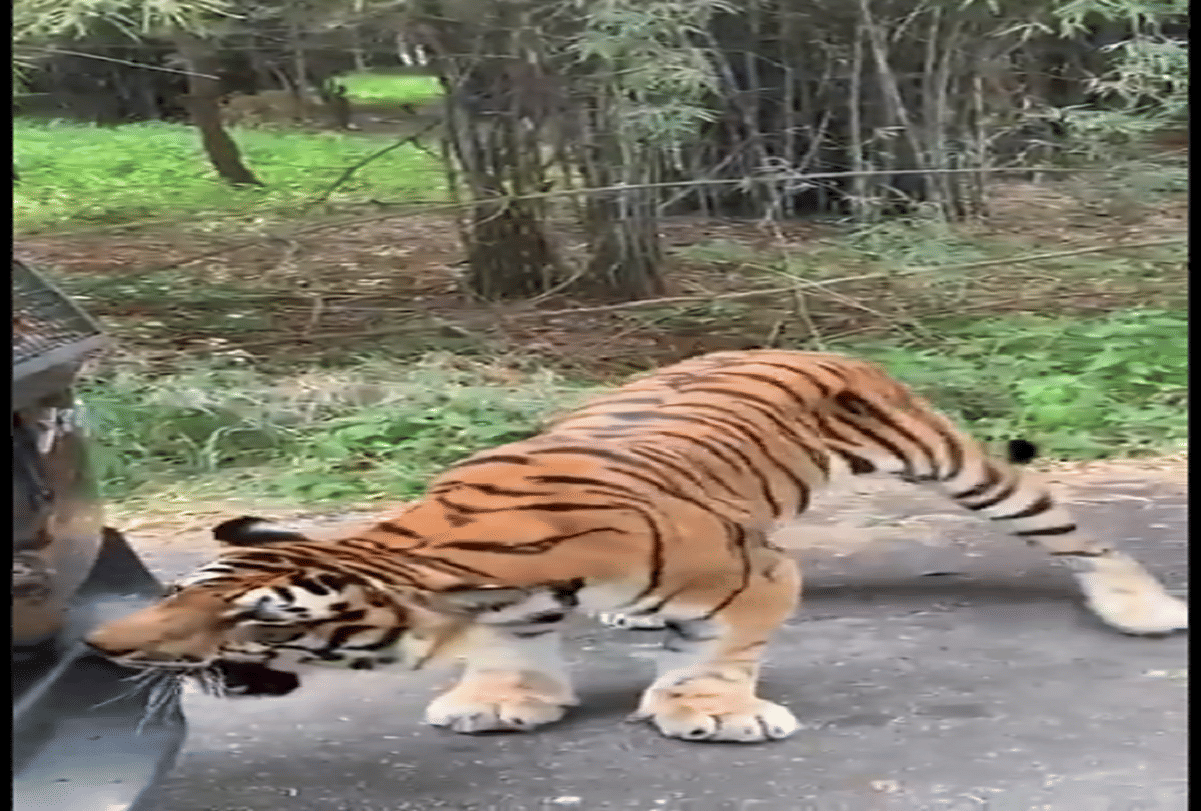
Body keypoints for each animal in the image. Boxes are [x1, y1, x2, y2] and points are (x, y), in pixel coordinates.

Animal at [85, 350, 1188, 743]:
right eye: (180, 589)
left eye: (250, 622)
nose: (103, 647)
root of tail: (788, 337)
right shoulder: (511, 604)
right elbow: (514, 644)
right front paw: (502, 697)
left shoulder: (753, 576)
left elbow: (721, 651)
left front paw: (708, 711)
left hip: (946, 456)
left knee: (1067, 529)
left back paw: (1141, 605)